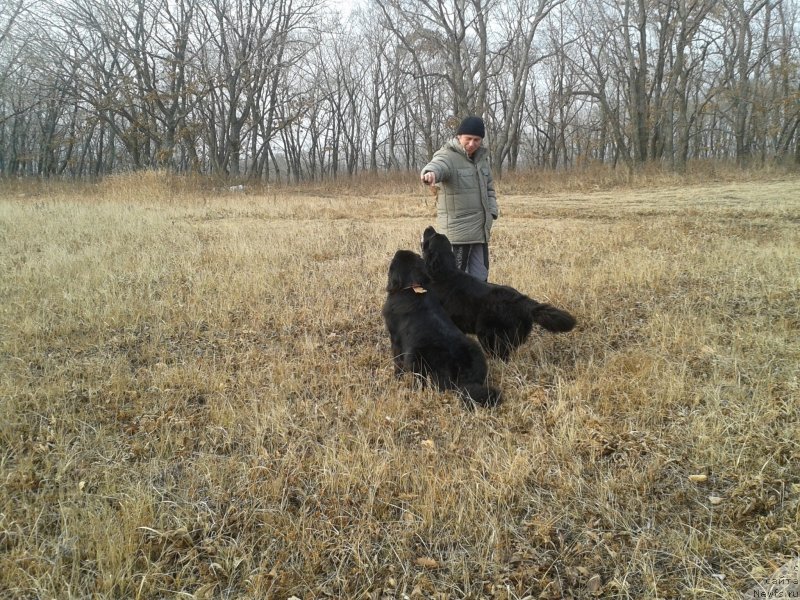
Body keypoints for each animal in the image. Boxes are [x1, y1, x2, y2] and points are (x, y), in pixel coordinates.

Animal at [380, 248, 500, 408]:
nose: (398, 250)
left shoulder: (396, 340)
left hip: (415, 355)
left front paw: (397, 378)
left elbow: (397, 363)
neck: (412, 288)